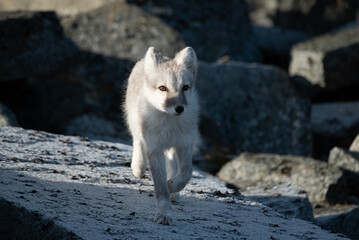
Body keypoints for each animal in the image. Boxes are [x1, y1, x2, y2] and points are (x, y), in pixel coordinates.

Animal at [124, 47, 201, 225]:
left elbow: (186, 172)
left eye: (185, 87)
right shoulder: (155, 149)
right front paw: (164, 213)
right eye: (162, 88)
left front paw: (172, 186)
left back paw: (174, 192)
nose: (179, 108)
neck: (169, 125)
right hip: (135, 125)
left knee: (173, 164)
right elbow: (160, 186)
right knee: (137, 141)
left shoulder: (184, 144)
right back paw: (138, 167)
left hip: (173, 148)